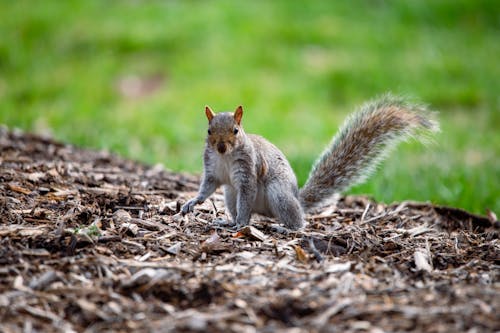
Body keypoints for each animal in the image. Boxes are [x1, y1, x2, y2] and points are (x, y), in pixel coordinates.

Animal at [182, 93, 440, 228]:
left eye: (235, 131)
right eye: (209, 131)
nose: (220, 146)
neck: (225, 157)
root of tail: (297, 197)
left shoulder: (249, 171)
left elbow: (246, 200)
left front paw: (241, 224)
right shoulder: (213, 170)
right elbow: (207, 187)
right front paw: (192, 202)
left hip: (278, 193)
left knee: (297, 222)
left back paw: (285, 228)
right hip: (229, 194)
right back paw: (227, 222)